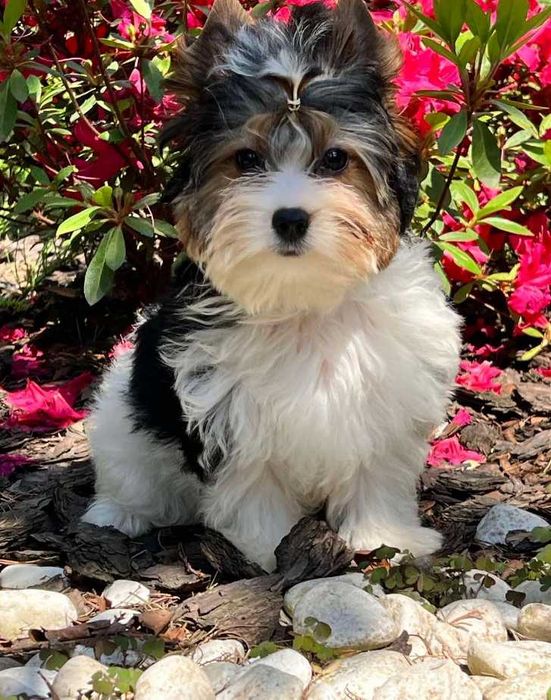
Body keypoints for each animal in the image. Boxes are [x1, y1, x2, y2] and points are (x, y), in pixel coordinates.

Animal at [82, 0, 461, 572]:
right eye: (246, 160)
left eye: (334, 159)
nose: (290, 218)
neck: (303, 299)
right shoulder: (228, 413)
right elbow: (253, 486)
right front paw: (270, 548)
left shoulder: (383, 399)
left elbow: (375, 469)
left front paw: (384, 535)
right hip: (123, 427)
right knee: (129, 472)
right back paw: (118, 515)